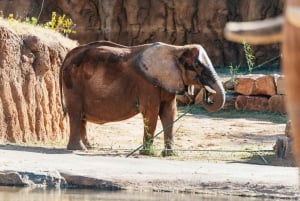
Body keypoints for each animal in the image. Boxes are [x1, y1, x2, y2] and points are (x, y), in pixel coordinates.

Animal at [60, 40, 225, 155]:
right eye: (197, 67)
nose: (208, 96)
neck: (176, 49)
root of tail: (68, 54)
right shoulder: (147, 84)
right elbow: (151, 112)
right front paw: (146, 153)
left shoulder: (168, 81)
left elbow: (169, 112)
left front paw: (169, 154)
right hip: (72, 83)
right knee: (76, 113)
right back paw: (79, 149)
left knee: (81, 116)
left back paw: (89, 147)